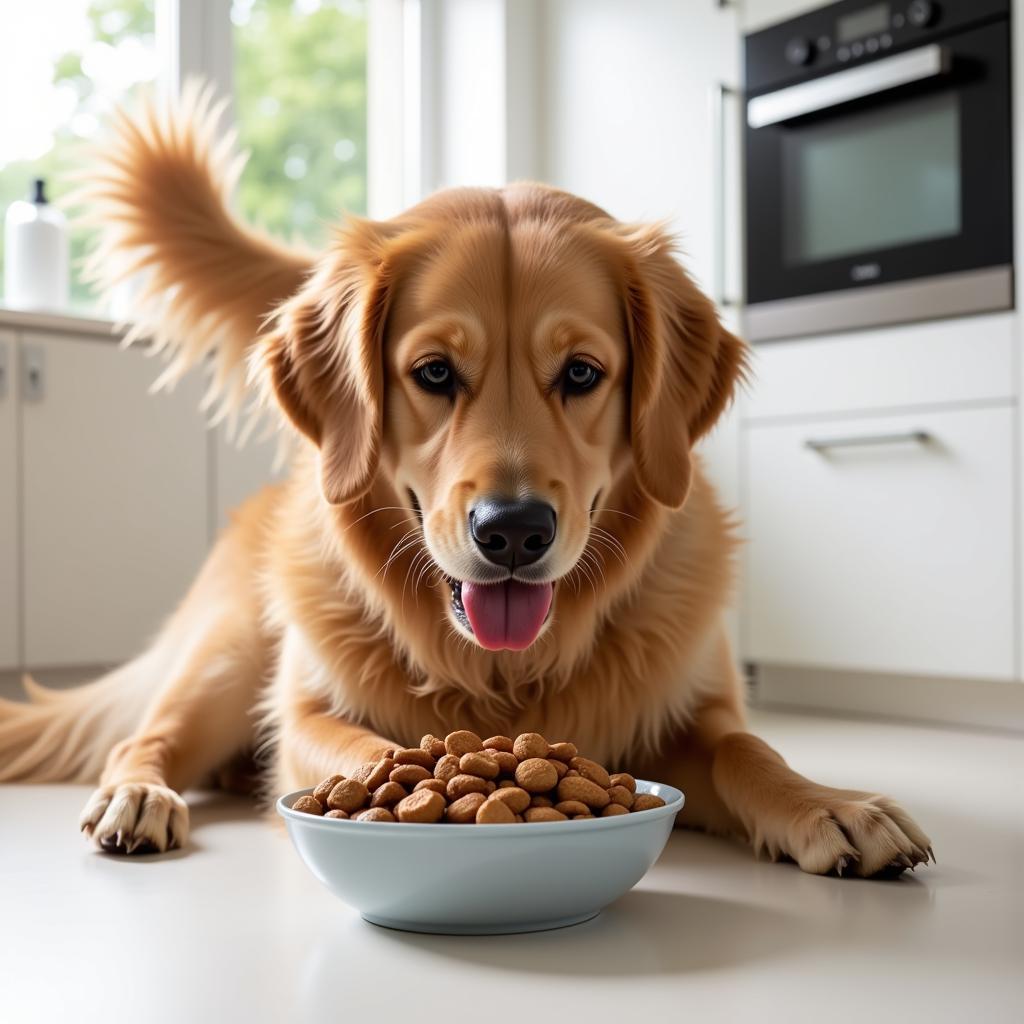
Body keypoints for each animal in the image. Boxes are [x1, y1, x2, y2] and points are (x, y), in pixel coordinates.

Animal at [0, 86, 933, 880]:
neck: (508, 674)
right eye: (435, 373)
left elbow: (749, 749)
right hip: (226, 657)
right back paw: (138, 796)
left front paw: (833, 805)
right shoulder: (305, 720)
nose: (513, 530)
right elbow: (377, 751)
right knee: (142, 737)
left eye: (583, 372)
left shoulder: (692, 714)